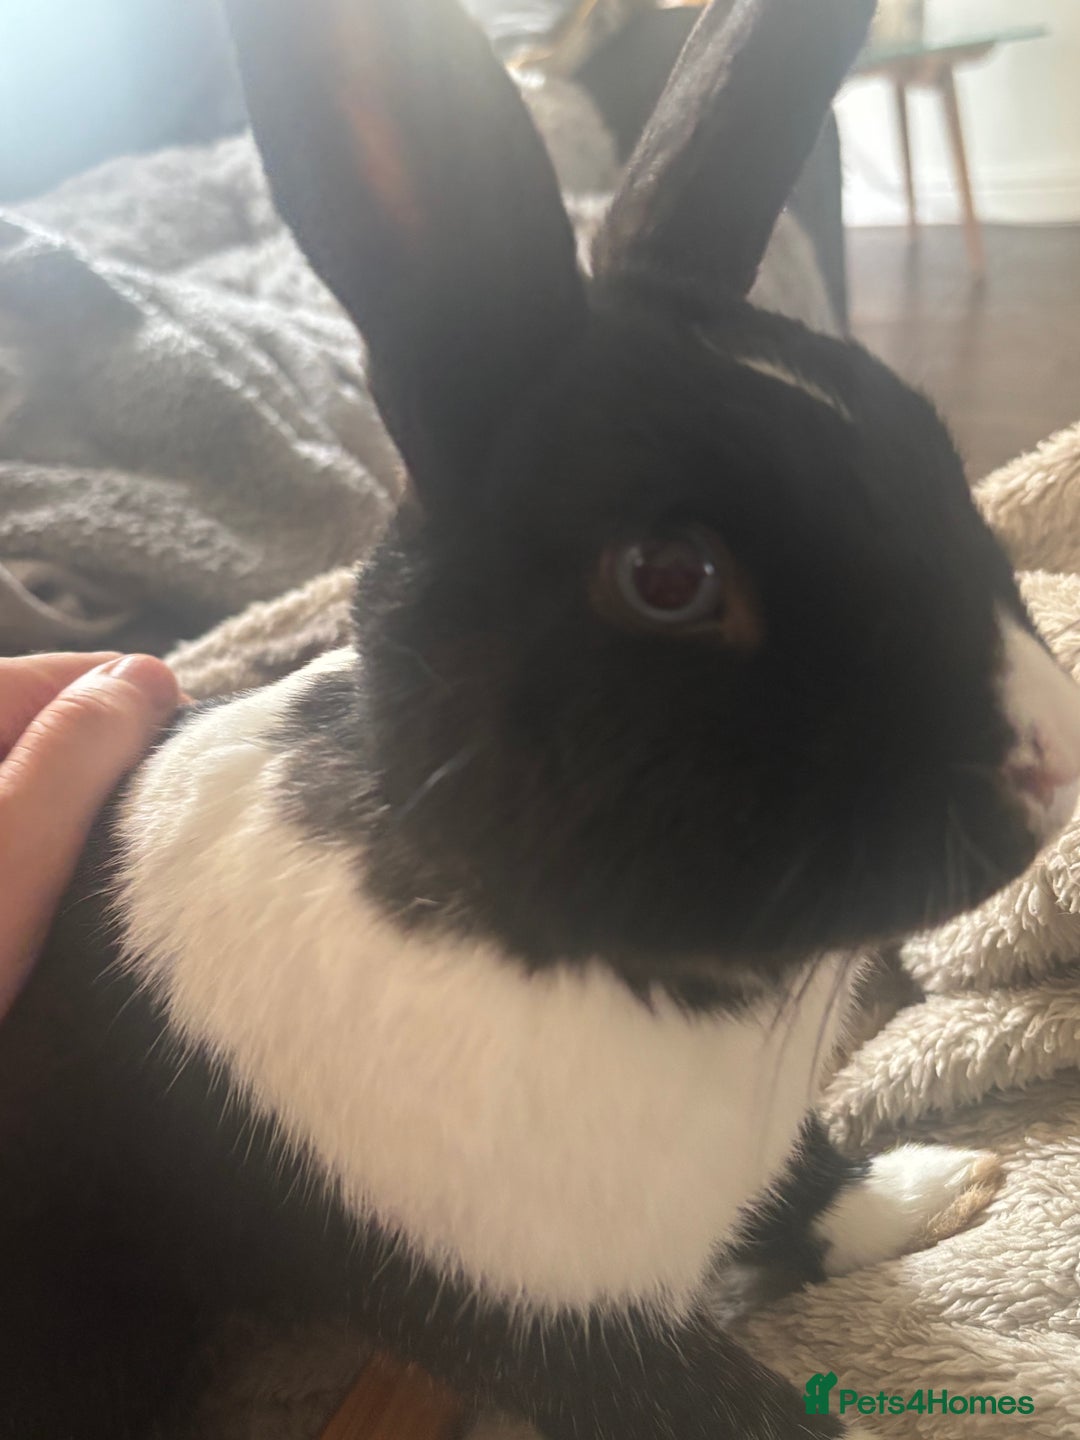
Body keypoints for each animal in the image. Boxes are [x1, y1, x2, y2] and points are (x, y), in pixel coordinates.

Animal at [4, 0, 1080, 1437]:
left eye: (925, 443)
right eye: (670, 576)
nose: (1053, 757)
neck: (578, 957)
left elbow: (802, 1192)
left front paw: (938, 1184)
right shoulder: (556, 1330)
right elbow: (752, 1411)